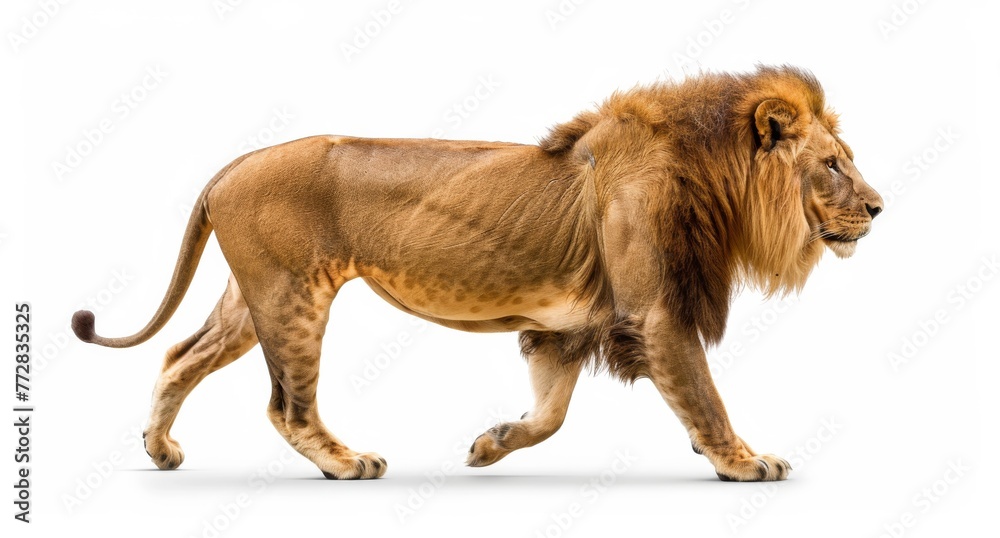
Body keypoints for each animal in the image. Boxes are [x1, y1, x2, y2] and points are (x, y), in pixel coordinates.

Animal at [71, 65, 882, 481]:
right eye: (832, 165)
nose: (879, 206)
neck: (716, 183)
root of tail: (230, 164)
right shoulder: (656, 313)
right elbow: (704, 398)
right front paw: (743, 461)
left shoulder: (570, 325)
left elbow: (551, 414)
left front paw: (491, 444)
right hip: (292, 295)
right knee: (287, 406)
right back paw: (347, 463)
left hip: (253, 297)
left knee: (181, 355)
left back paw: (160, 450)